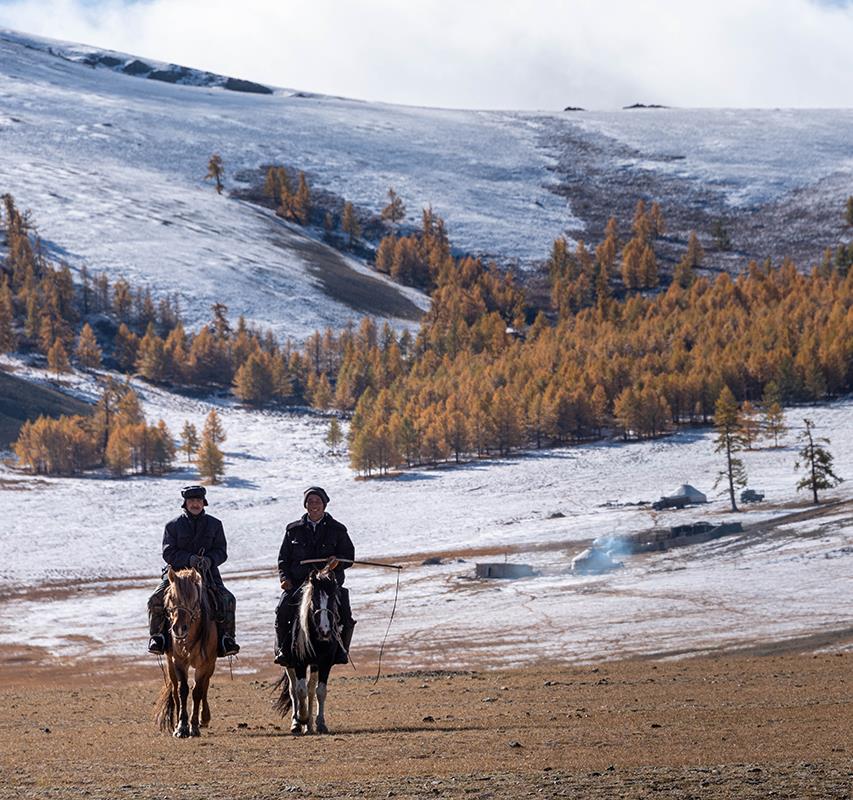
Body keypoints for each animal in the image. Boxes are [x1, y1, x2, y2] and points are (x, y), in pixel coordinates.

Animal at [155, 564, 218, 740]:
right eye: (171, 597)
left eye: (193, 599)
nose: (178, 628)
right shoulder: (178, 661)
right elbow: (182, 690)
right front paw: (181, 727)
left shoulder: (205, 663)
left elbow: (197, 691)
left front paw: (194, 726)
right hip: (170, 664)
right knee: (175, 691)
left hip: (211, 664)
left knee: (205, 685)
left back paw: (204, 718)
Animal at [272, 564, 342, 736]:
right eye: (314, 600)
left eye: (332, 599)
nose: (325, 631)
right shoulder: (299, 663)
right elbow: (300, 690)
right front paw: (301, 718)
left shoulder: (325, 663)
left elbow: (320, 691)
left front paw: (320, 723)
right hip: (288, 664)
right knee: (293, 690)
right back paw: (297, 723)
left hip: (315, 665)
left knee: (311, 689)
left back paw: (309, 725)